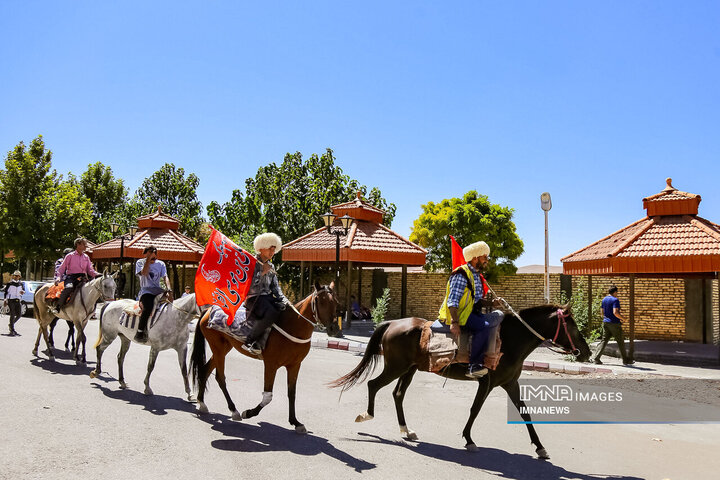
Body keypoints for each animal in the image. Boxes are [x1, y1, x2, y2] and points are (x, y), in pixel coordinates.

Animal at [190, 284, 338, 434]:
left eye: (335, 302)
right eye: (321, 301)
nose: (334, 328)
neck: (293, 325)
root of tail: (208, 310)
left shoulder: (295, 365)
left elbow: (292, 393)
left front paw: (295, 422)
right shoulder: (271, 364)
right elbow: (267, 396)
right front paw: (249, 413)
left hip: (223, 348)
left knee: (205, 370)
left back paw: (202, 403)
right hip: (218, 349)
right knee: (220, 378)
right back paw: (234, 410)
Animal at [330, 306, 592, 460]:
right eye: (572, 326)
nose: (586, 352)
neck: (509, 340)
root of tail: (392, 323)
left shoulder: (510, 383)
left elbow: (524, 412)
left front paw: (540, 447)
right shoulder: (486, 382)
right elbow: (475, 409)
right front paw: (469, 439)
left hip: (409, 369)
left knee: (398, 394)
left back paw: (406, 430)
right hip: (396, 367)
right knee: (374, 385)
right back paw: (367, 415)